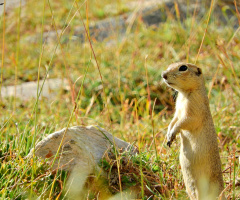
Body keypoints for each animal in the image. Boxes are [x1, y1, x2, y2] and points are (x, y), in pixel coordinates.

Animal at [161, 63, 225, 200]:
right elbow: (174, 120)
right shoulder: (177, 111)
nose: (163, 74)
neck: (184, 94)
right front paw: (169, 136)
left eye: (183, 67)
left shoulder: (193, 110)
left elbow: (185, 121)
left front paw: (173, 133)